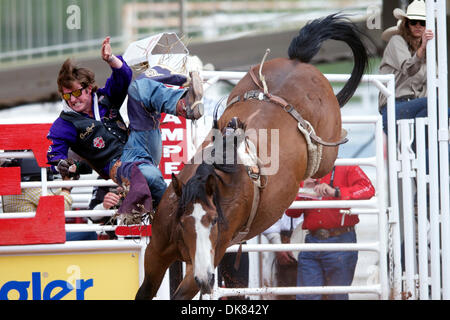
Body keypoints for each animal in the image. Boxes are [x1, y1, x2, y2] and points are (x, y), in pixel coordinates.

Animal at [136, 14, 370, 300]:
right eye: (183, 221)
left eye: (214, 220)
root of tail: (299, 61)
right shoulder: (155, 255)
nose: (206, 279)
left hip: (325, 153)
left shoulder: (208, 259)